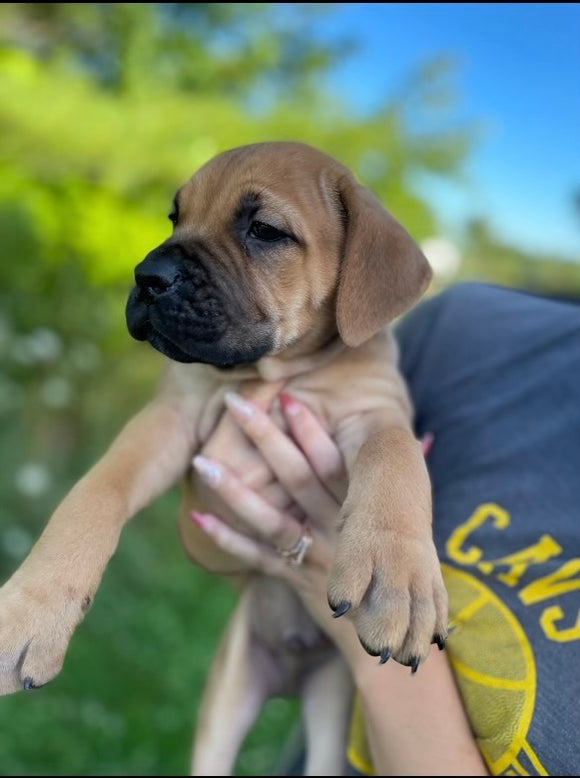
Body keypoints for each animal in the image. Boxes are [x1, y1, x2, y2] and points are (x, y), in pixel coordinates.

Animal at [0, 142, 448, 772]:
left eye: (264, 231)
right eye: (174, 217)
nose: (148, 276)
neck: (274, 373)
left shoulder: (376, 411)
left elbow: (397, 455)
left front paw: (398, 576)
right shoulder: (171, 417)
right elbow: (95, 491)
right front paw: (30, 611)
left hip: (332, 707)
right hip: (226, 702)